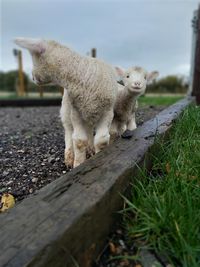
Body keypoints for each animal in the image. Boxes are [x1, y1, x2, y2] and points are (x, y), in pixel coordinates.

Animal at [14, 37, 118, 168]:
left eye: (34, 59)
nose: (32, 77)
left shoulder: (107, 112)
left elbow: (101, 140)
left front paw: (99, 157)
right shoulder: (76, 111)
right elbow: (79, 140)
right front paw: (78, 164)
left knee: (89, 129)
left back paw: (90, 148)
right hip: (66, 108)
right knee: (69, 130)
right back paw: (69, 156)